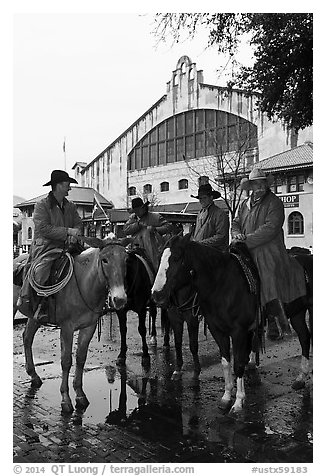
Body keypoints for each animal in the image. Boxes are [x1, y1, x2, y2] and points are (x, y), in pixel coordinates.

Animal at [14, 240, 129, 414]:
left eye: (126, 260)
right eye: (105, 260)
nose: (120, 299)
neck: (83, 283)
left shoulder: (89, 327)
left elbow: (81, 358)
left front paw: (80, 395)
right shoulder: (67, 328)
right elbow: (66, 361)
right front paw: (66, 400)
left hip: (34, 317)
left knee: (27, 338)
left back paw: (34, 376)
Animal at [153, 236, 314, 410]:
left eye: (176, 258)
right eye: (159, 258)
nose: (156, 294)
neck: (222, 285)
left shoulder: (239, 332)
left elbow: (238, 363)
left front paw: (238, 401)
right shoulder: (217, 330)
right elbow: (225, 362)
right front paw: (226, 396)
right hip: (297, 314)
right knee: (304, 337)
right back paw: (300, 378)